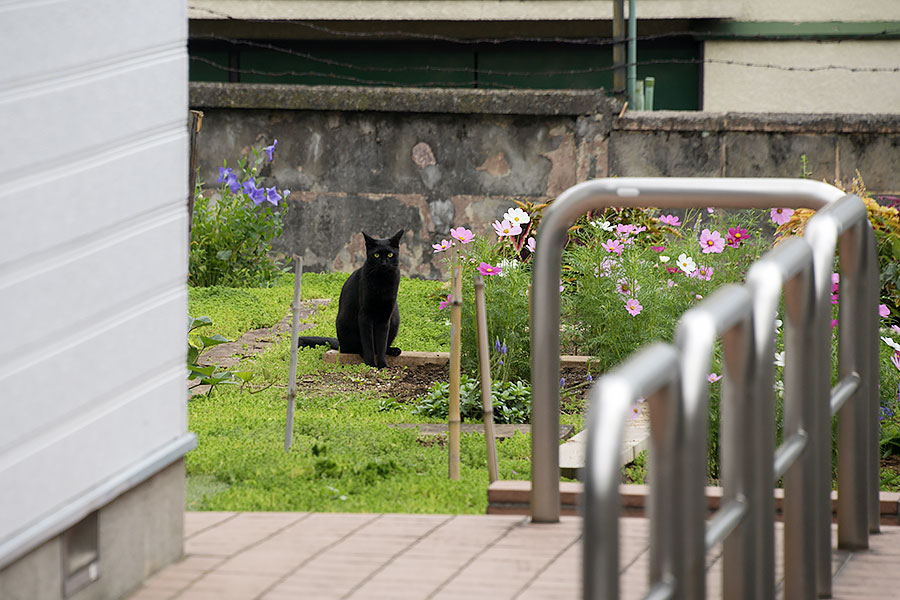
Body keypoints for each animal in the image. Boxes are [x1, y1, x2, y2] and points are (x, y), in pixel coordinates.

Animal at [298, 232, 404, 368]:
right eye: (376, 255)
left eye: (390, 254)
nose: (384, 263)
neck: (382, 281)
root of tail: (340, 344)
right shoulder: (364, 316)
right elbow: (368, 344)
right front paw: (370, 364)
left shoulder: (385, 317)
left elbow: (381, 344)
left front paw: (383, 365)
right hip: (345, 322)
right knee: (354, 349)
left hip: (395, 318)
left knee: (383, 346)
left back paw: (393, 350)